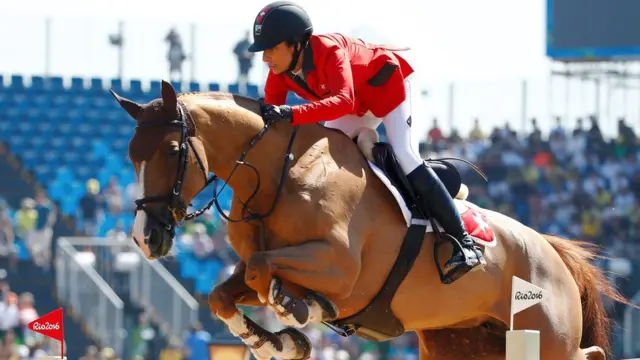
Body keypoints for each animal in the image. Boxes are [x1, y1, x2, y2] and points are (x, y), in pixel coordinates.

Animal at [110, 81, 624, 360]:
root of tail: (551, 250)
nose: (144, 238)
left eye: (171, 151)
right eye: (130, 154)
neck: (279, 172)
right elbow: (227, 293)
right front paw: (279, 342)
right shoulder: (268, 262)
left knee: (586, 352)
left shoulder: (340, 268)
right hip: (461, 341)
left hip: (547, 335)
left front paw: (298, 312)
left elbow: (265, 274)